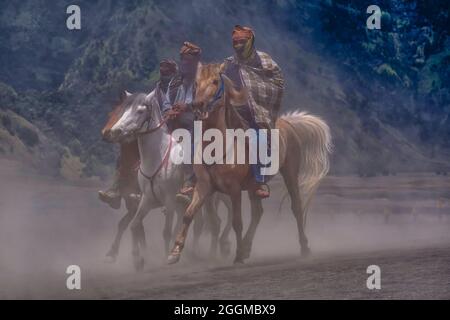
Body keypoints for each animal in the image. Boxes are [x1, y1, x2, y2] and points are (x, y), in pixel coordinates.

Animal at [104, 89, 234, 270]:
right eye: (123, 110)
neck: (156, 156)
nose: (113, 132)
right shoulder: (146, 199)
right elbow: (134, 225)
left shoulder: (170, 200)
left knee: (214, 223)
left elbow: (166, 231)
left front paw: (166, 257)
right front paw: (138, 259)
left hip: (210, 197)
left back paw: (212, 255)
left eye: (140, 111)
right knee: (212, 223)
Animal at [167, 63, 332, 264]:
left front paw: (237, 255)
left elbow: (237, 222)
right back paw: (246, 247)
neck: (218, 147)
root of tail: (288, 123)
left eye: (215, 81)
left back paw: (304, 248)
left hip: (290, 172)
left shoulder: (234, 189)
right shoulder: (204, 186)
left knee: (296, 208)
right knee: (258, 212)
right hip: (254, 186)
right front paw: (175, 252)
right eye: (196, 83)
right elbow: (188, 214)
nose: (198, 105)